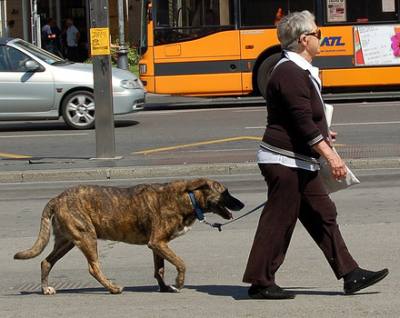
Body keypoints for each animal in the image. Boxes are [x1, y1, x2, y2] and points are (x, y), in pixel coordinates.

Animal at [14, 178, 244, 294]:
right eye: (226, 192)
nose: (242, 204)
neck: (189, 197)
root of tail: (57, 198)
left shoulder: (158, 245)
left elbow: (159, 269)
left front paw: (164, 287)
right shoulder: (158, 242)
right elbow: (181, 263)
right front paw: (178, 283)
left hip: (67, 241)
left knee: (46, 261)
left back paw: (45, 288)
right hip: (86, 237)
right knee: (93, 268)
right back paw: (113, 288)